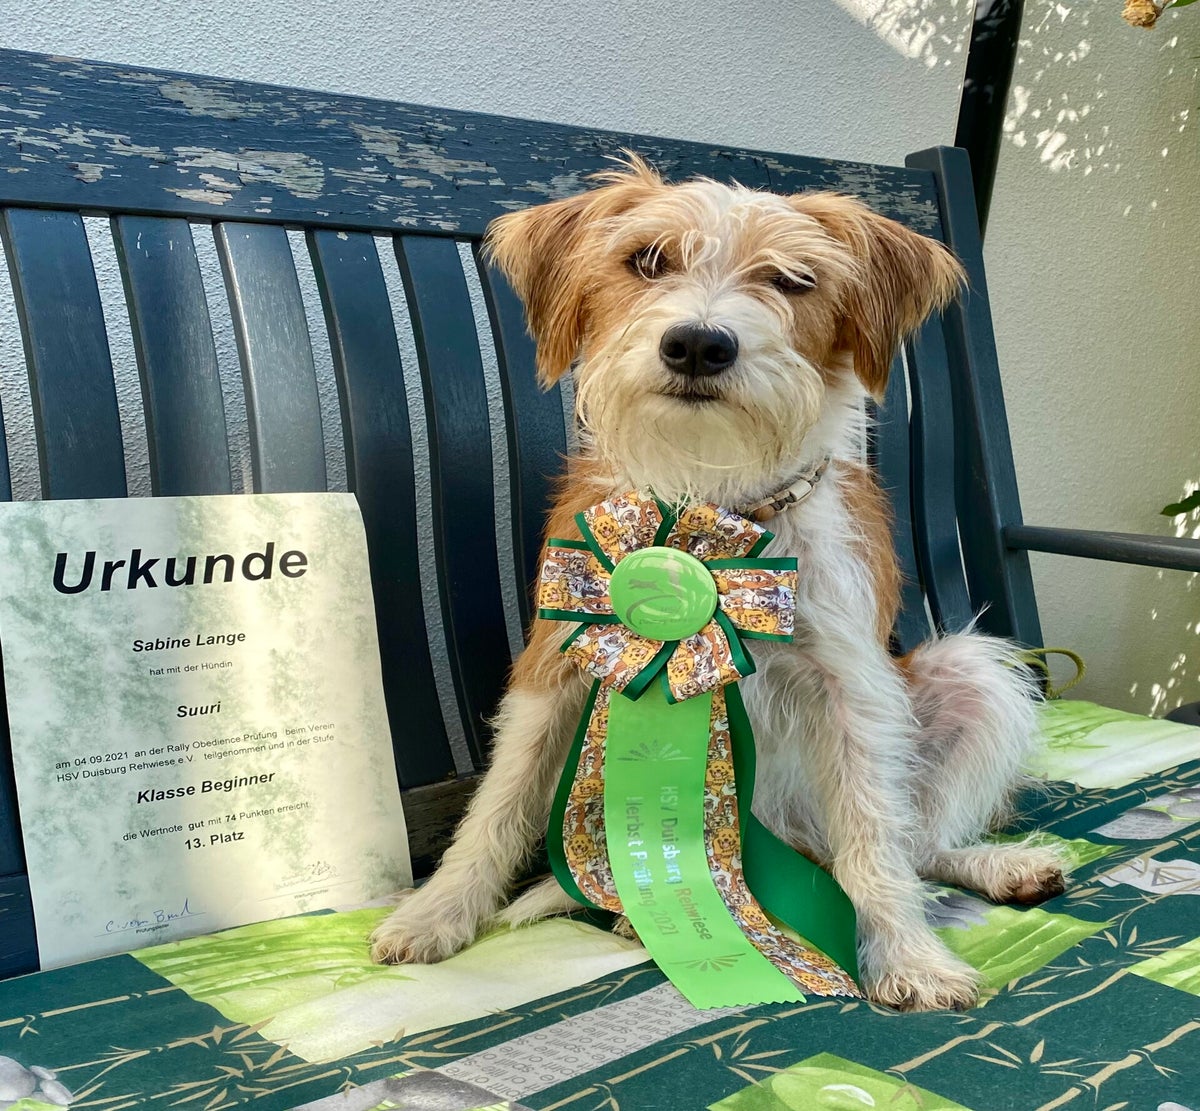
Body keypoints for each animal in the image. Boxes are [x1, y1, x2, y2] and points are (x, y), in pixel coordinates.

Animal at [370, 156, 1066, 1012]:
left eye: (794, 278)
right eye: (646, 260)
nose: (699, 343)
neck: (710, 497)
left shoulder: (854, 688)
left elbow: (875, 835)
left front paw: (907, 954)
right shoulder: (557, 665)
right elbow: (496, 804)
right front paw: (438, 910)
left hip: (967, 675)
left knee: (918, 839)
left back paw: (999, 866)